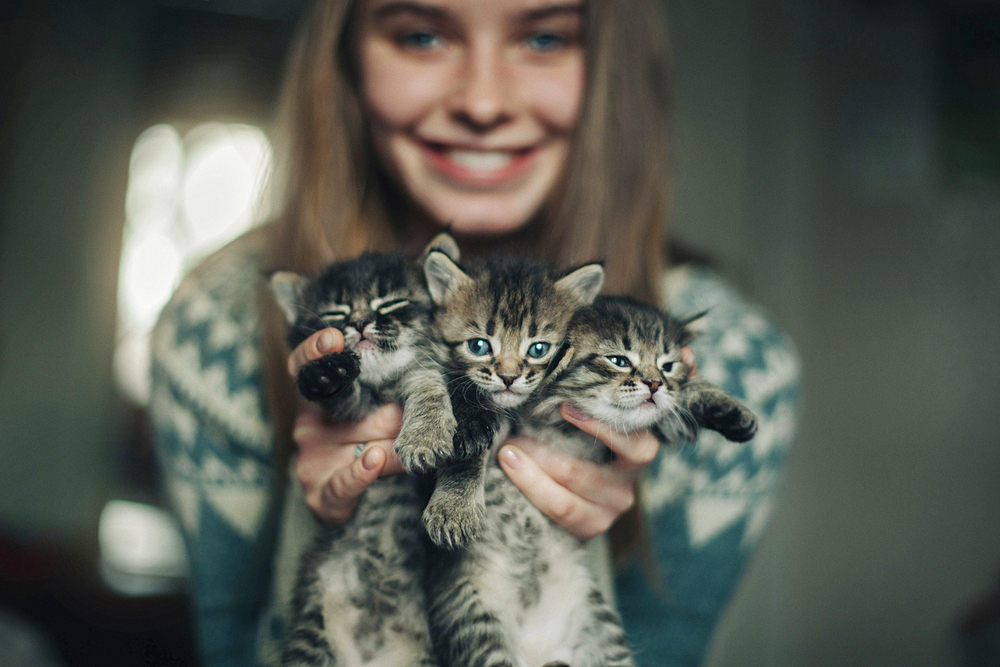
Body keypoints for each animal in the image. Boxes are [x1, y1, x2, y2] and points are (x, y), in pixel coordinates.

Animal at [272, 237, 462, 667]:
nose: (359, 322)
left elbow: (427, 382)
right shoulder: (350, 411)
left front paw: (426, 434)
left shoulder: (425, 369)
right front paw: (325, 375)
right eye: (336, 312)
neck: (383, 385)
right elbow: (342, 398)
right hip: (313, 628)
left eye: (389, 303)